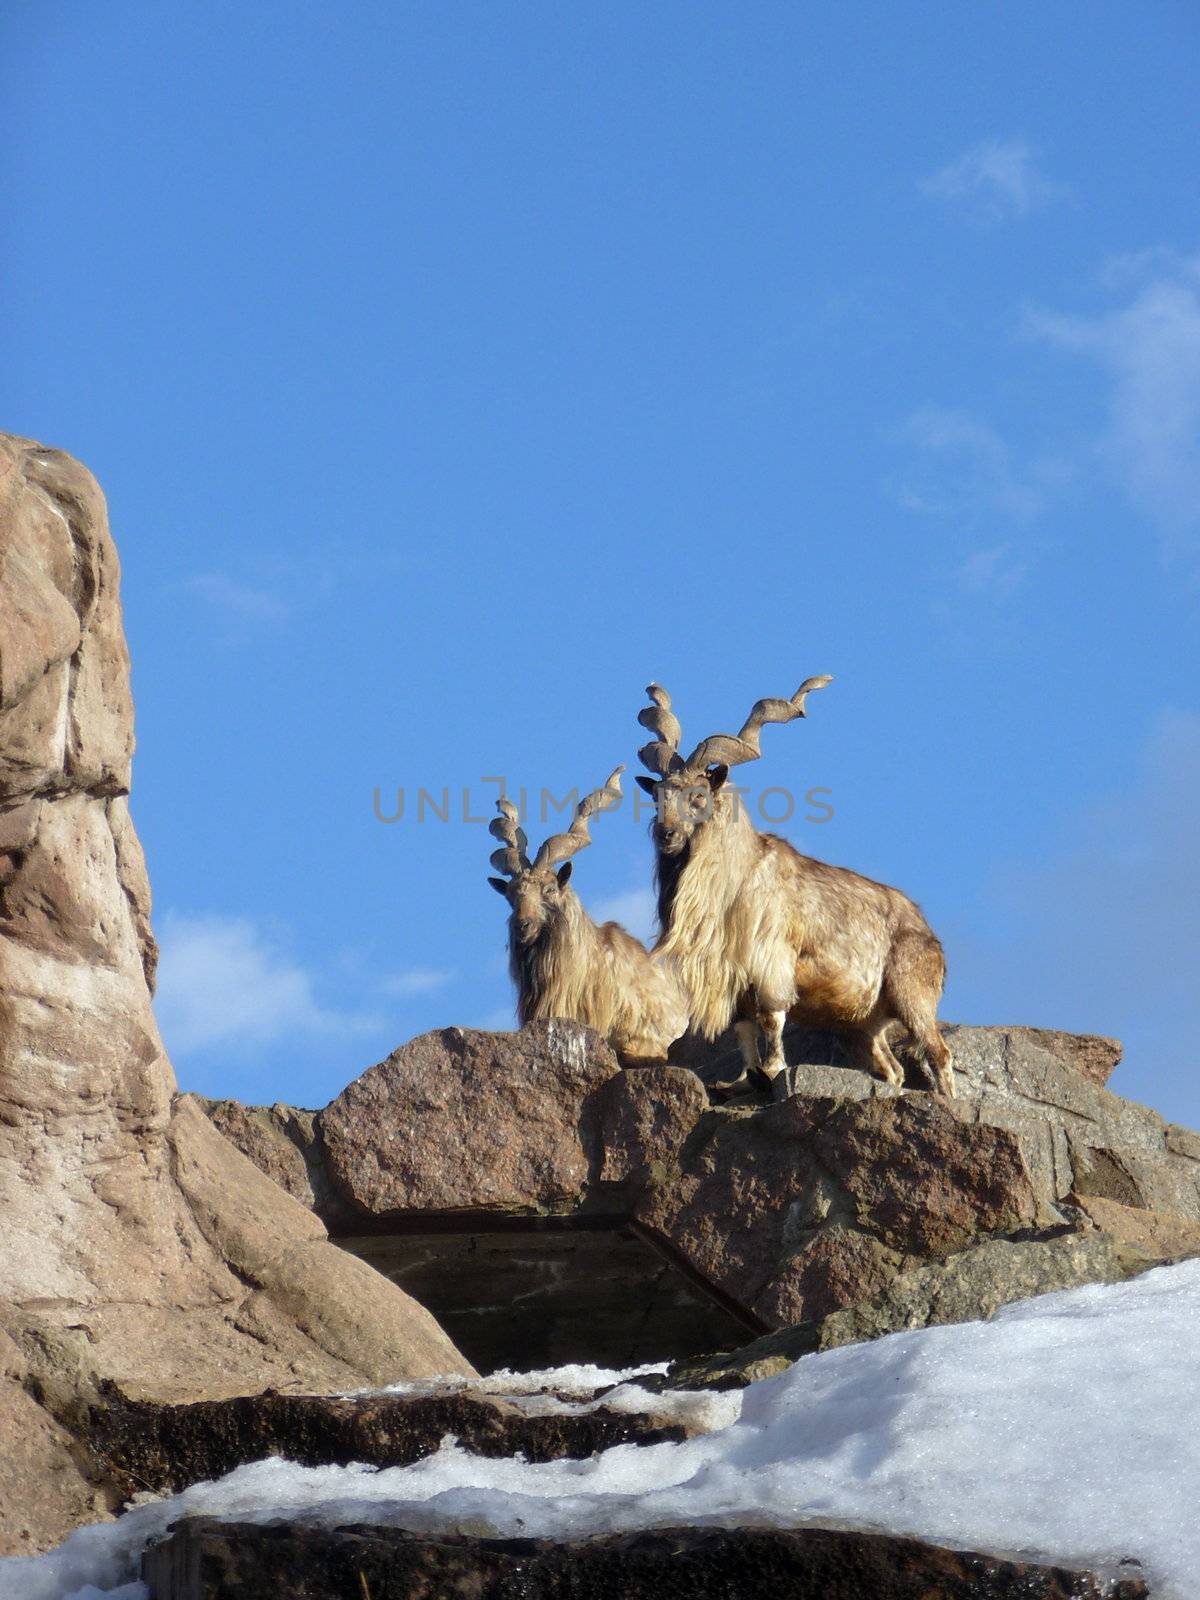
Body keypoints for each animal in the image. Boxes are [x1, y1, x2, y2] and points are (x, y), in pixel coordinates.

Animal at [630, 681, 960, 1094]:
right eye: (658, 795)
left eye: (698, 796)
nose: (666, 835)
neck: (734, 882)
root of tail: (931, 935)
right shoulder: (737, 985)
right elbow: (744, 1031)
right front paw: (743, 1080)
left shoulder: (771, 966)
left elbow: (772, 1019)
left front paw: (773, 1070)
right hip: (862, 1026)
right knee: (892, 1066)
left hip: (912, 994)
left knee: (939, 1052)